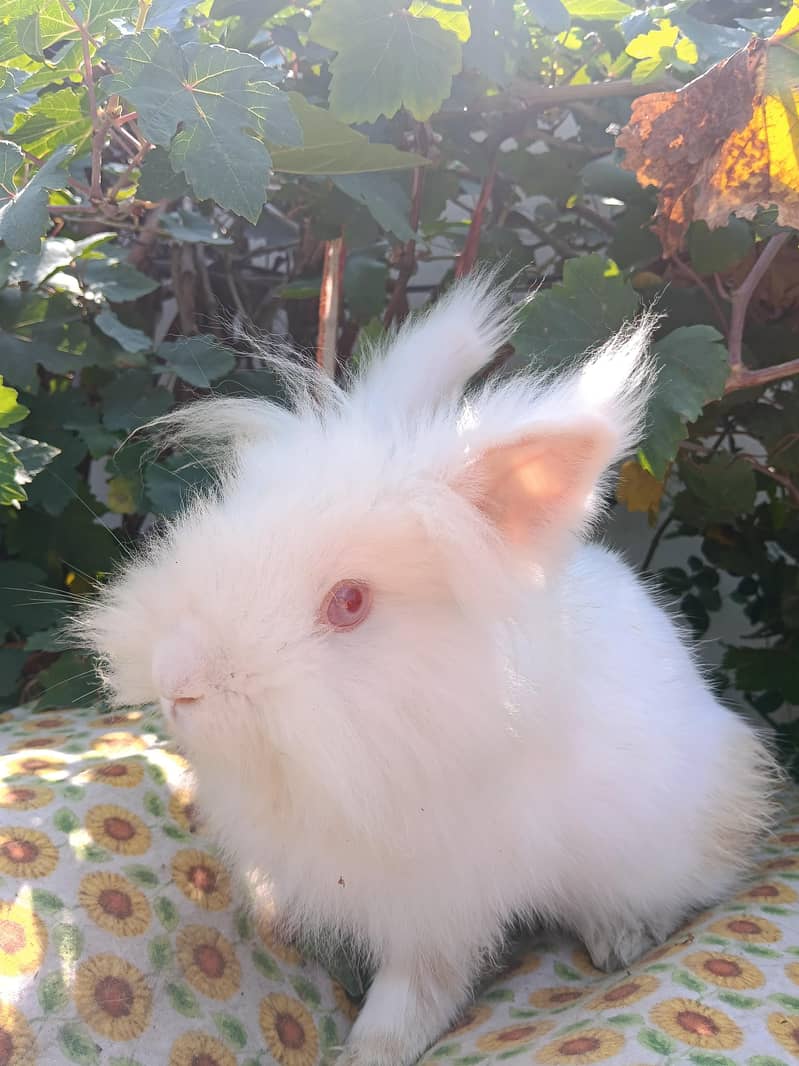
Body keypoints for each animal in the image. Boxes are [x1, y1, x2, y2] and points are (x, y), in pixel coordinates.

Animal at [77, 274, 779, 1066]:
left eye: (349, 602)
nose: (177, 680)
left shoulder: (442, 901)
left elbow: (418, 985)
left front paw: (370, 1048)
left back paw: (620, 939)